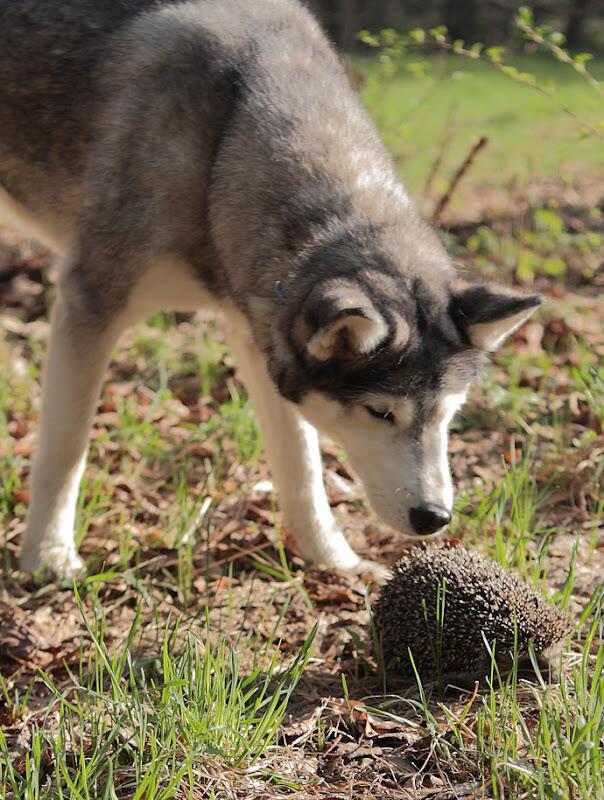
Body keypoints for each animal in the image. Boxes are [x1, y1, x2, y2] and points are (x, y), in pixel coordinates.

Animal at [0, 0, 536, 580]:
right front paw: (48, 557)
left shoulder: (259, 338)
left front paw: (335, 561)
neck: (225, 146)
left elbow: (302, 469)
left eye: (448, 414)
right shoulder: (90, 302)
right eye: (380, 412)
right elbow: (65, 450)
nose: (434, 518)